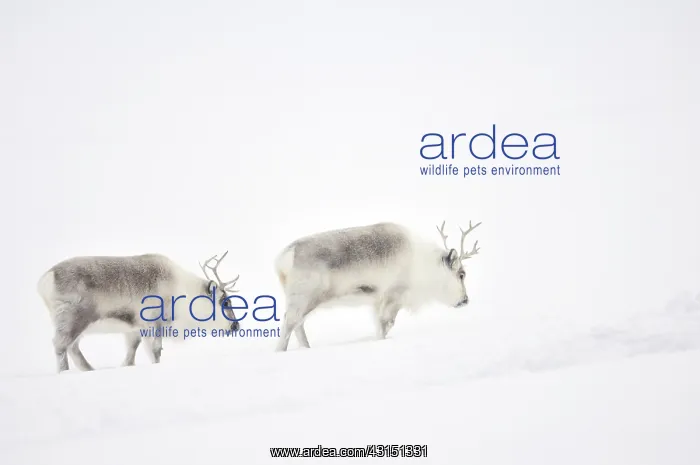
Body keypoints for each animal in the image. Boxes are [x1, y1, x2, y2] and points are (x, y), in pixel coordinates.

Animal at [37, 251, 241, 373]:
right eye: (225, 301)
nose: (236, 326)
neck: (183, 292)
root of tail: (45, 279)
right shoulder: (155, 321)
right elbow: (156, 351)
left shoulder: (134, 327)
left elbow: (133, 348)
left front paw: (127, 365)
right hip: (73, 318)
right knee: (60, 345)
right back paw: (65, 371)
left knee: (73, 347)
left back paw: (90, 369)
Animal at [273, 220, 482, 352]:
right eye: (461, 274)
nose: (465, 300)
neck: (423, 265)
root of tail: (282, 260)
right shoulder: (394, 295)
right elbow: (385, 325)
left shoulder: (377, 300)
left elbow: (378, 326)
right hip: (303, 298)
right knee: (289, 323)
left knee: (298, 325)